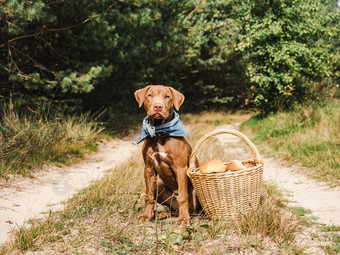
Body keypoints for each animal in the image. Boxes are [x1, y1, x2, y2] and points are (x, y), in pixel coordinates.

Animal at [135, 84, 201, 224]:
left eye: (167, 97)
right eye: (150, 95)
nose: (158, 106)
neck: (159, 133)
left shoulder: (181, 169)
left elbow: (183, 196)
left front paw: (183, 219)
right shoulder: (148, 169)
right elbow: (149, 195)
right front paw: (146, 215)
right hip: (159, 187)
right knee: (173, 207)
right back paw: (164, 214)